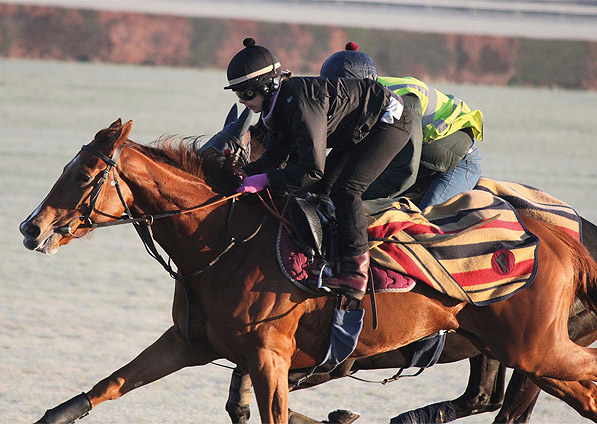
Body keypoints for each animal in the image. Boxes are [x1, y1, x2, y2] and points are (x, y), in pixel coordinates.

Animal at [18, 119, 596, 424]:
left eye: (85, 174)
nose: (30, 227)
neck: (223, 242)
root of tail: (563, 240)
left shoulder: (271, 357)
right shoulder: (189, 343)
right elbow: (108, 385)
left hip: (538, 349)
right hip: (519, 353)